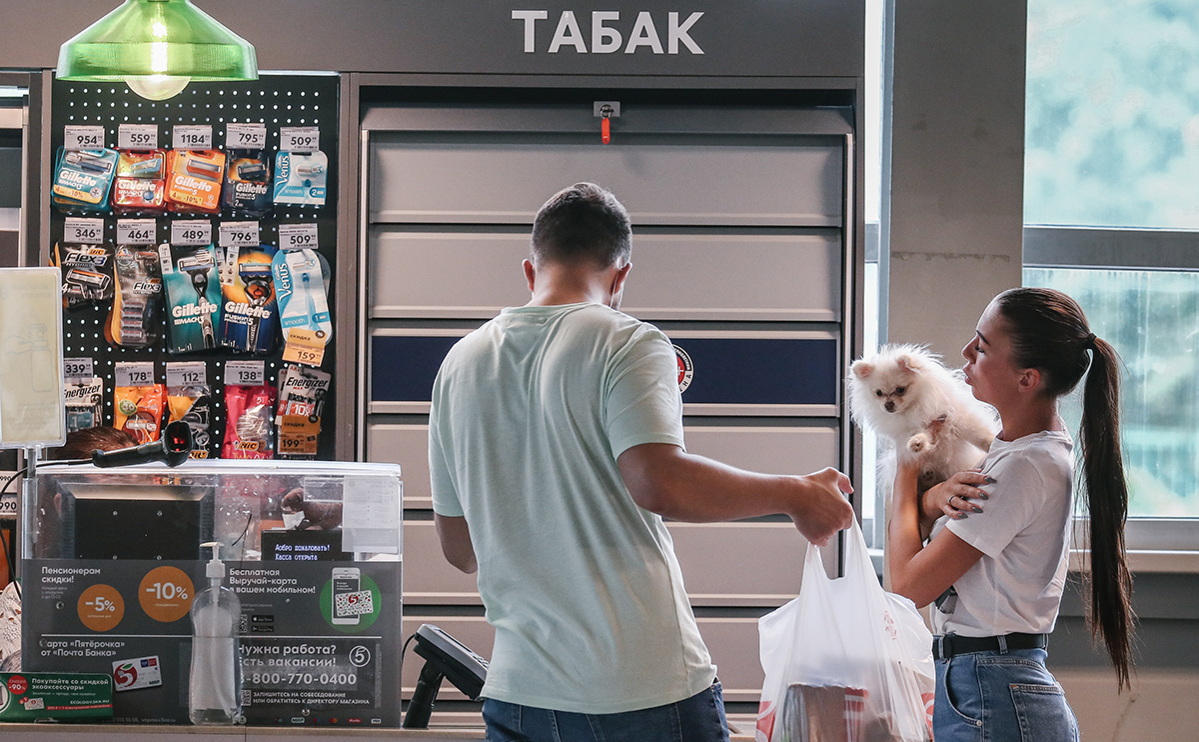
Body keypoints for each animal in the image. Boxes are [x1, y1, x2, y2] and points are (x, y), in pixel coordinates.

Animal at [844, 345, 1002, 496]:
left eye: (900, 390)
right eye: (878, 393)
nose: (888, 404)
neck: (914, 408)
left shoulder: (957, 418)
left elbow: (978, 433)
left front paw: (991, 443)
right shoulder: (912, 429)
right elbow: (921, 434)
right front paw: (917, 442)